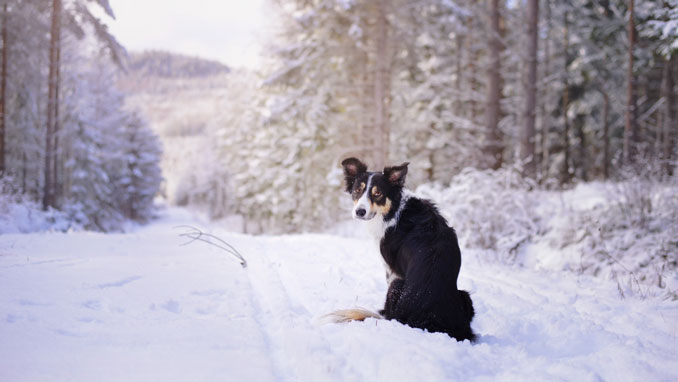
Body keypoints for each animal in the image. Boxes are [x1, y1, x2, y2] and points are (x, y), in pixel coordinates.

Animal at [326, 157, 478, 342]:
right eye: (357, 190)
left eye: (378, 194)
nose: (360, 212)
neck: (394, 210)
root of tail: (428, 319)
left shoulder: (391, 270)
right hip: (465, 296)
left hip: (398, 285)